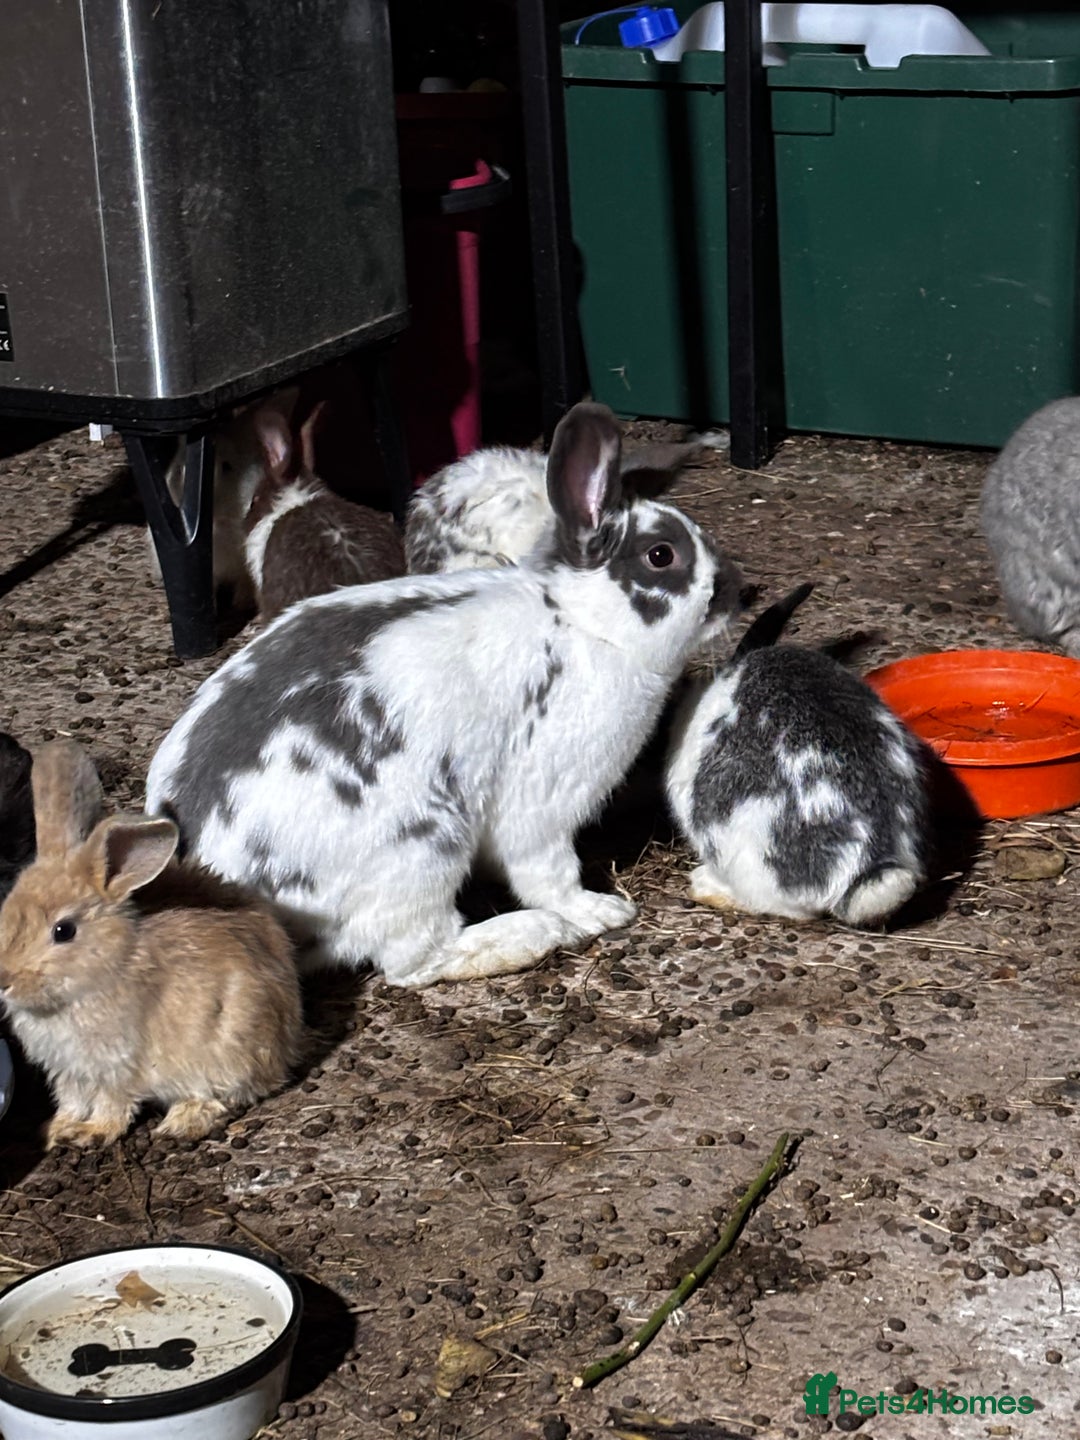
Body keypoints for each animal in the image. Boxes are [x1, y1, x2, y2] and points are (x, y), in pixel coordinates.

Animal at [0, 740, 303, 1149]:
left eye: (63, 931)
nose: (4, 980)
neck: (108, 966)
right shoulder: (70, 1073)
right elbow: (71, 1100)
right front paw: (56, 1130)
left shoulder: (116, 1065)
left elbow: (112, 1104)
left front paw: (92, 1132)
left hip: (227, 1050)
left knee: (223, 1095)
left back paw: (182, 1121)